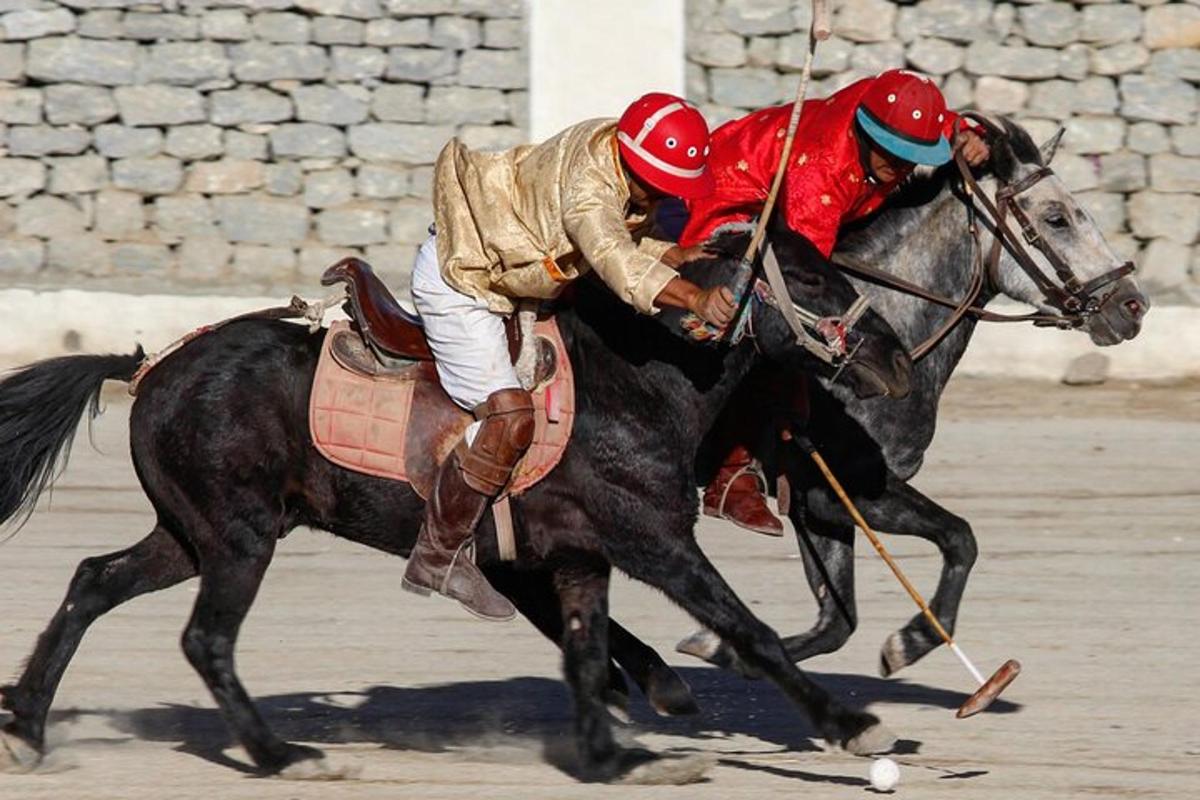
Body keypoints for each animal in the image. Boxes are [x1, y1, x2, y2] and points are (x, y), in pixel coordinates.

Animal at [0, 227, 902, 786]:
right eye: (811, 279)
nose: (893, 356)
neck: (635, 382)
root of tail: (149, 366)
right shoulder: (653, 540)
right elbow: (748, 632)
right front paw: (853, 724)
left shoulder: (578, 555)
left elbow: (585, 650)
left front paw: (615, 757)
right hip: (239, 538)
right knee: (206, 638)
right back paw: (285, 754)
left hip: (189, 533)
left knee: (92, 580)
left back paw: (28, 727)